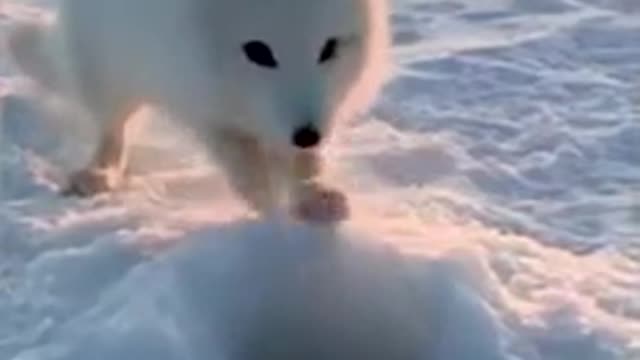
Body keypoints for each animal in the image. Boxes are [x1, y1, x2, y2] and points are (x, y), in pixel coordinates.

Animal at [8, 0, 390, 222]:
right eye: (258, 52)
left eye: (329, 48)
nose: (307, 134)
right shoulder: (200, 98)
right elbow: (240, 159)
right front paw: (267, 205)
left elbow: (304, 161)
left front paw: (313, 195)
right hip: (105, 65)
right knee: (112, 128)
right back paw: (97, 173)